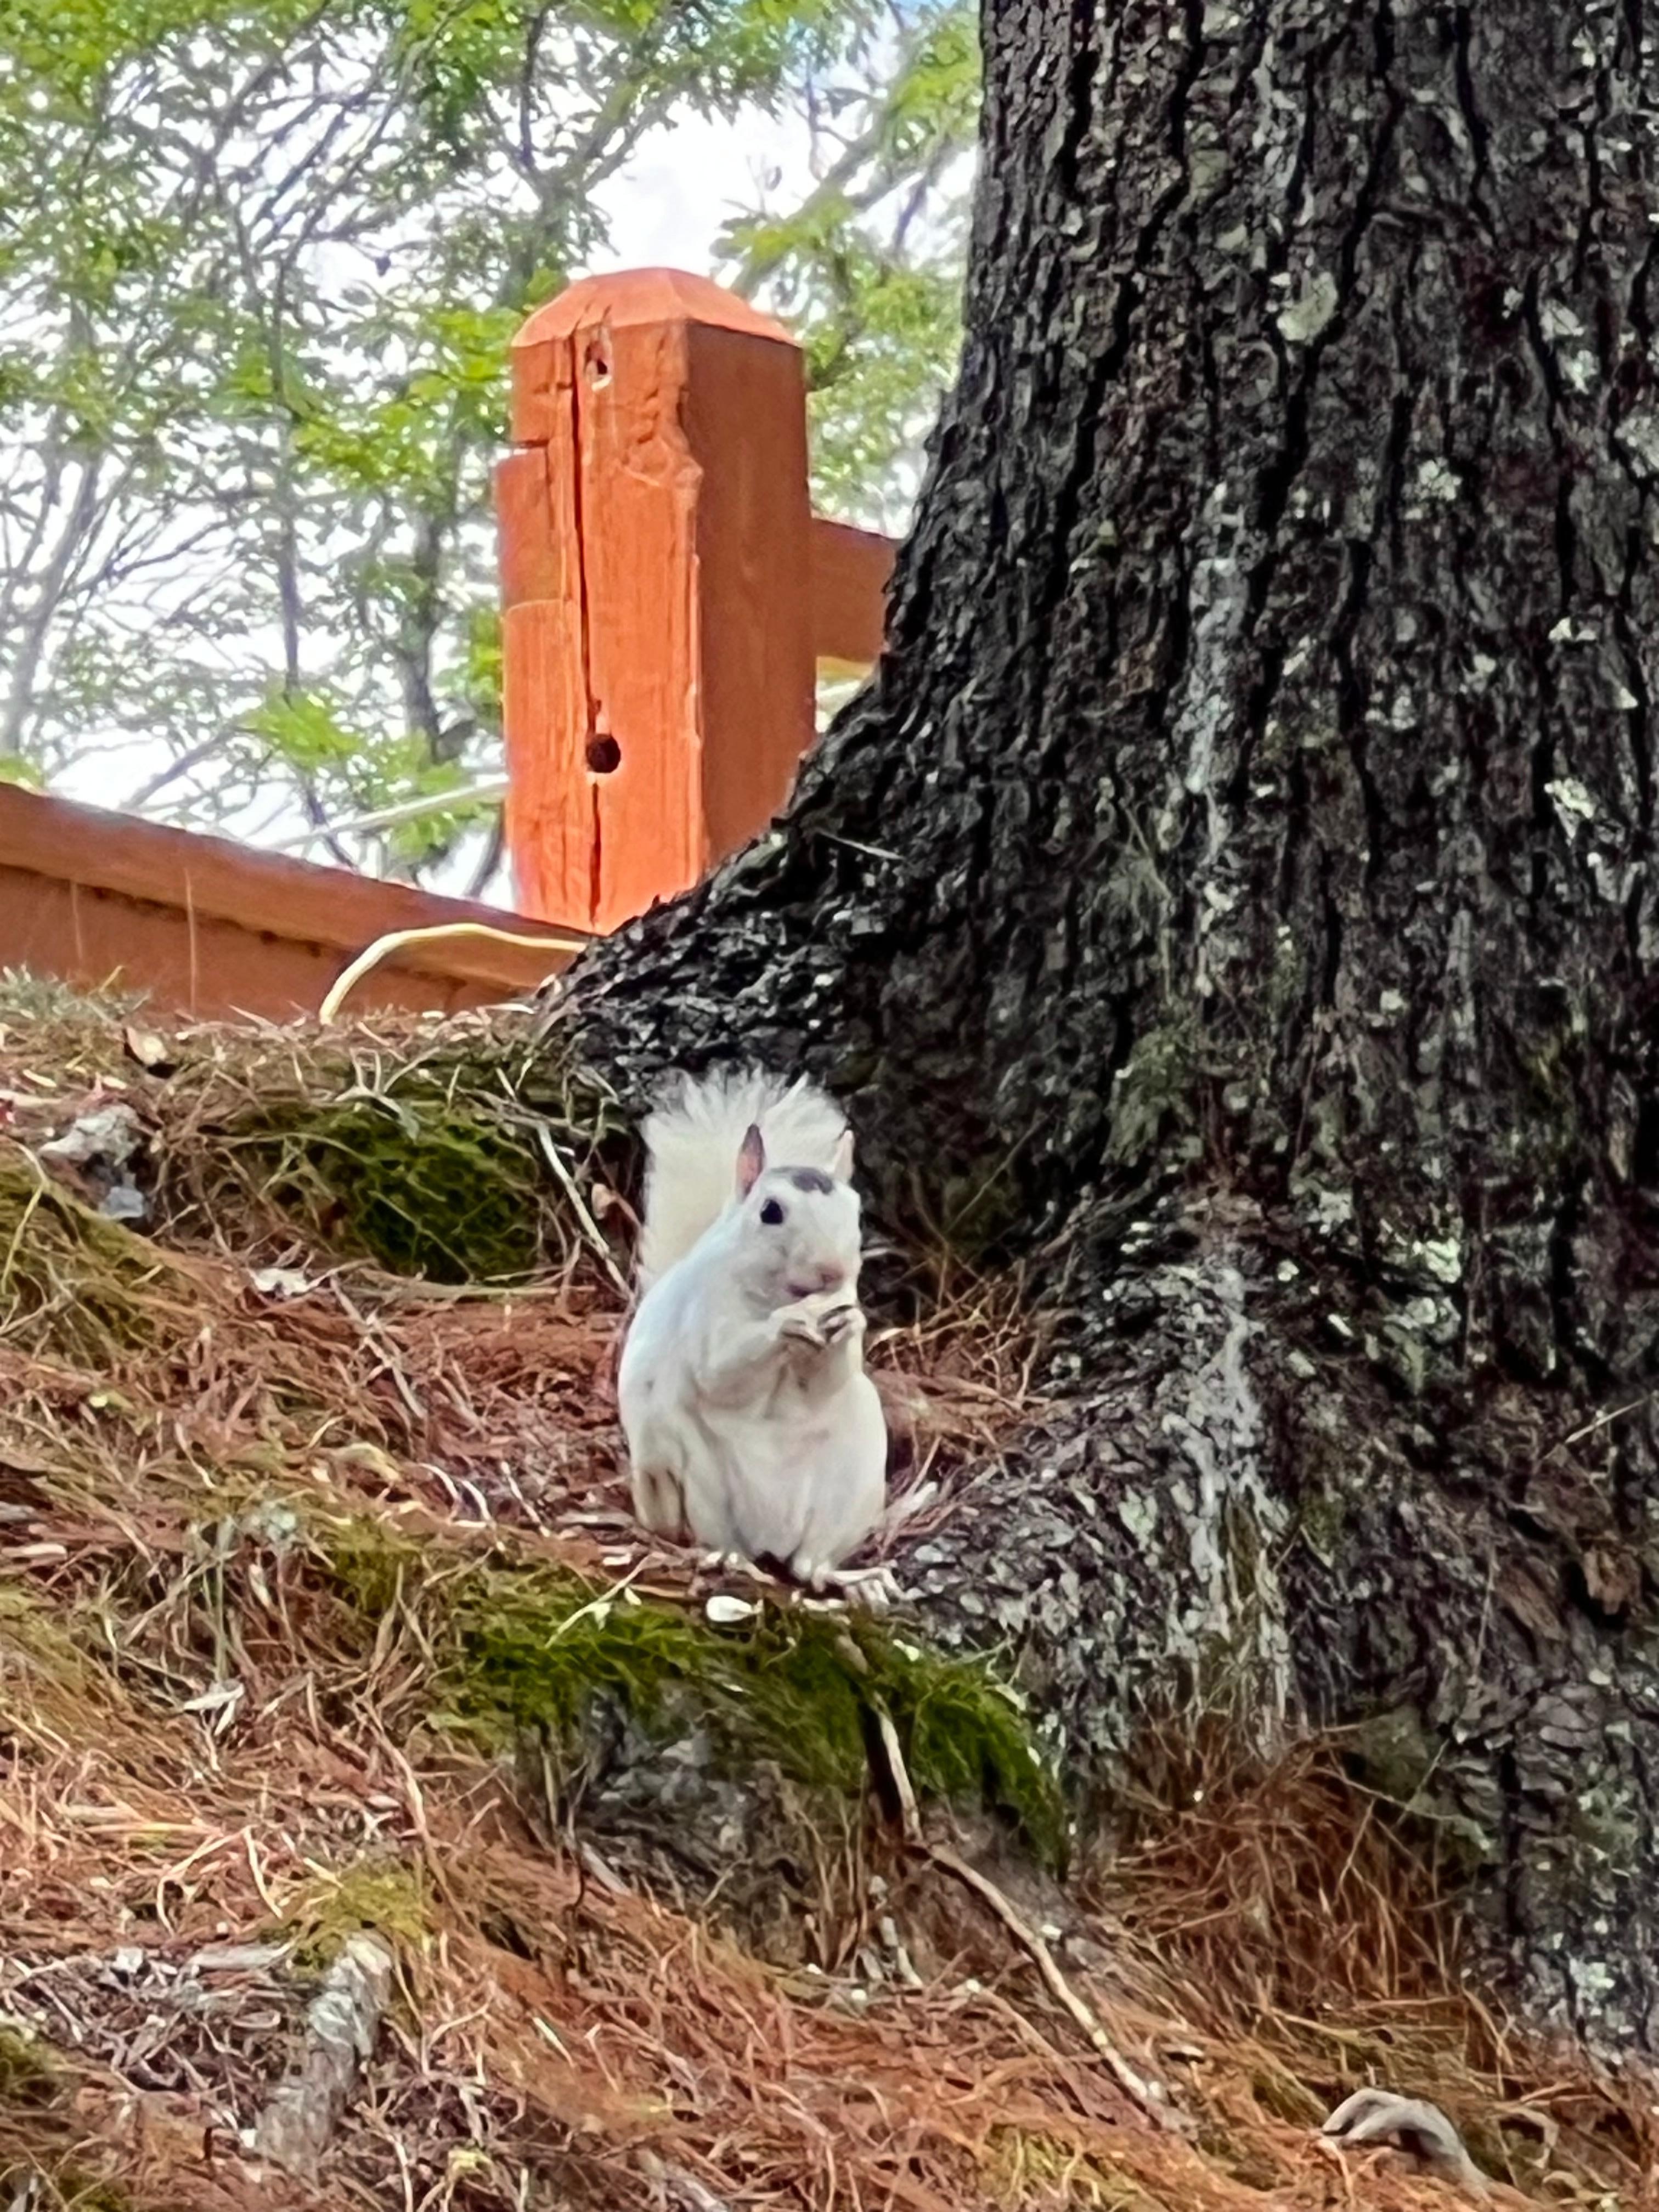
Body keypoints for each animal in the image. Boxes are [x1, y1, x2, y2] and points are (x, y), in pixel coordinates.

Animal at [616, 1067, 888, 1590]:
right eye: (770, 1212)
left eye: (857, 1212)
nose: (832, 1272)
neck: (776, 1295)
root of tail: (771, 1539)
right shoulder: (706, 1313)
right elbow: (720, 1374)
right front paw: (787, 1326)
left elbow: (832, 1379)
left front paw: (849, 1323)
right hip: (691, 1475)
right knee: (719, 1535)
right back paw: (730, 1558)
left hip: (855, 1477)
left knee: (810, 1564)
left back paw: (850, 1579)